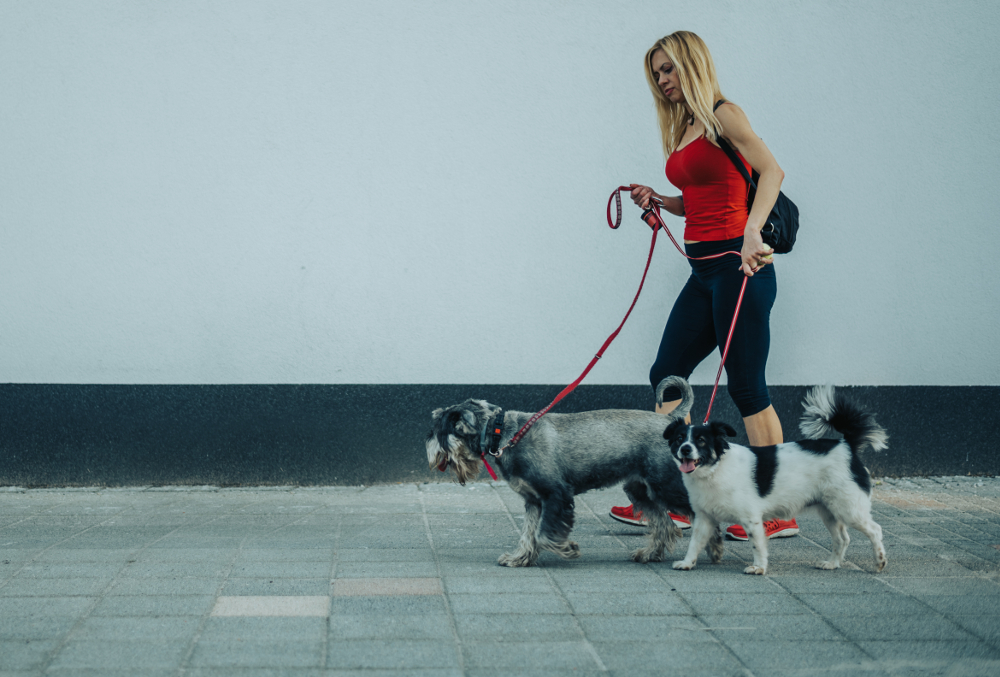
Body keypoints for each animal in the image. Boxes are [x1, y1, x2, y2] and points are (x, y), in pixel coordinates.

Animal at [426, 374, 724, 564]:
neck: (504, 434)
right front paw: (520, 557)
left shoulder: (556, 495)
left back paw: (714, 549)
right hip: (640, 491)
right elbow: (529, 532)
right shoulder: (533, 501)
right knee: (665, 524)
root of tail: (670, 421)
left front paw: (568, 549)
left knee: (701, 515)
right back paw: (650, 554)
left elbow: (545, 534)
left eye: (438, 428)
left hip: (667, 486)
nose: (428, 448)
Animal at [668, 382, 888, 572]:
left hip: (849, 509)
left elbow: (757, 545)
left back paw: (879, 562)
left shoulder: (751, 519)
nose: (685, 449)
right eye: (679, 439)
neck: (715, 469)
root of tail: (847, 445)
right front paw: (687, 563)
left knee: (875, 530)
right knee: (843, 538)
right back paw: (832, 564)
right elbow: (694, 543)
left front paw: (759, 567)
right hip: (830, 511)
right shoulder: (704, 518)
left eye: (701, 440)